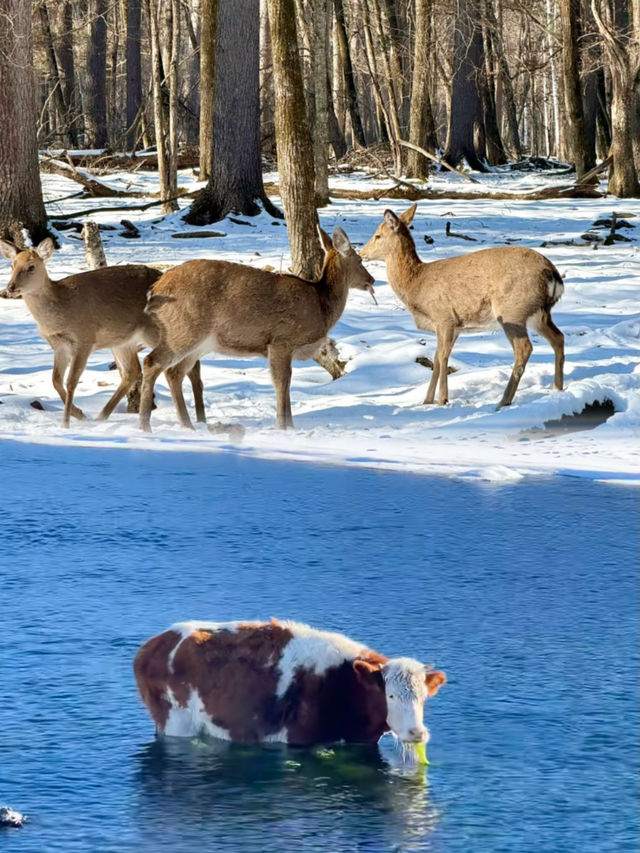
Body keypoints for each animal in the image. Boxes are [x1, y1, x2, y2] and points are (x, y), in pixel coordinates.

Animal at [0, 238, 205, 426]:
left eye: (31, 267)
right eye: (12, 265)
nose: (10, 287)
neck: (61, 311)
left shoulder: (84, 338)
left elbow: (71, 382)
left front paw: (66, 423)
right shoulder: (60, 345)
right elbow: (56, 380)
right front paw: (79, 414)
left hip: (160, 331)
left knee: (190, 366)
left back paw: (199, 419)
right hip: (123, 341)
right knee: (133, 371)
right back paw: (101, 417)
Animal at [138, 225, 372, 432]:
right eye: (360, 260)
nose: (371, 279)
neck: (321, 307)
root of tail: (155, 289)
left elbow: (286, 383)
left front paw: (290, 426)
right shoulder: (281, 340)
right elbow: (281, 381)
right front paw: (282, 426)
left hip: (199, 341)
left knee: (174, 371)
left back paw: (187, 425)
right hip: (184, 329)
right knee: (152, 362)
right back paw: (145, 426)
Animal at [360, 205, 564, 408]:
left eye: (378, 235)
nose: (361, 254)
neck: (416, 285)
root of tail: (553, 275)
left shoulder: (444, 317)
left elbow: (443, 357)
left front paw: (442, 400)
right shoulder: (454, 327)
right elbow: (436, 358)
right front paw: (427, 401)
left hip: (512, 311)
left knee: (524, 348)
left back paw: (503, 401)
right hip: (539, 314)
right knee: (558, 338)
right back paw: (557, 389)